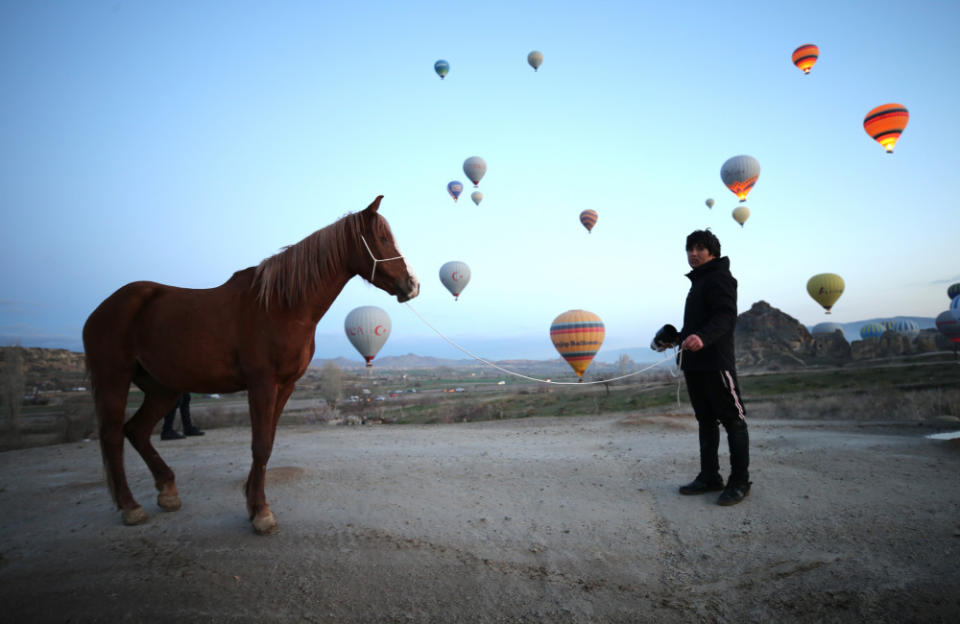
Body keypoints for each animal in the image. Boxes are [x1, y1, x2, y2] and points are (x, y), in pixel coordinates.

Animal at [85, 195, 420, 532]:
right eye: (382, 238)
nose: (412, 285)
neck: (282, 305)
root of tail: (103, 308)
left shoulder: (285, 386)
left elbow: (268, 442)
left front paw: (252, 501)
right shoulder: (262, 384)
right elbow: (260, 445)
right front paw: (261, 513)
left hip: (163, 388)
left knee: (136, 430)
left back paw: (167, 491)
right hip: (114, 379)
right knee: (113, 436)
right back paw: (131, 507)